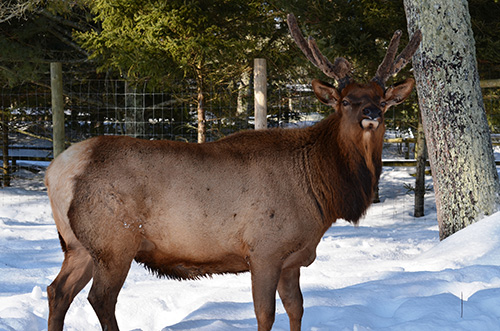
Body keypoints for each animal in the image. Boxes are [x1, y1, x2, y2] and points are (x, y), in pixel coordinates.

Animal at [45, 13, 422, 331]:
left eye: (382, 98)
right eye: (345, 101)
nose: (371, 113)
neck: (322, 193)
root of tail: (55, 172)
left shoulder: (292, 260)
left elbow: (297, 308)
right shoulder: (264, 250)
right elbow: (265, 314)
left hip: (79, 245)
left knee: (57, 291)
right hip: (114, 241)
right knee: (100, 299)